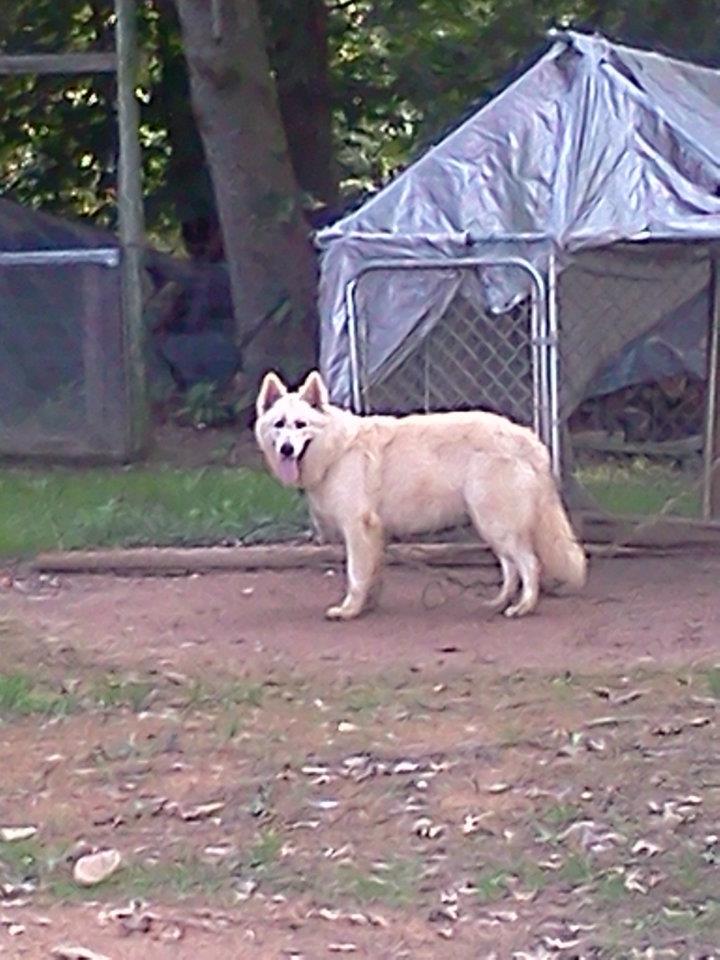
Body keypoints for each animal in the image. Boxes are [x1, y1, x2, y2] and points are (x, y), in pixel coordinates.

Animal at [254, 370, 586, 621]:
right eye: (279, 425)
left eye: (300, 425)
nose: (286, 449)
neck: (335, 449)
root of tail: (528, 439)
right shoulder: (375, 534)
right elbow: (373, 575)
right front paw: (368, 606)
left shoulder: (358, 528)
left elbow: (356, 575)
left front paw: (349, 610)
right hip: (490, 523)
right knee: (511, 567)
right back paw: (500, 602)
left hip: (497, 522)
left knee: (529, 564)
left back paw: (523, 607)